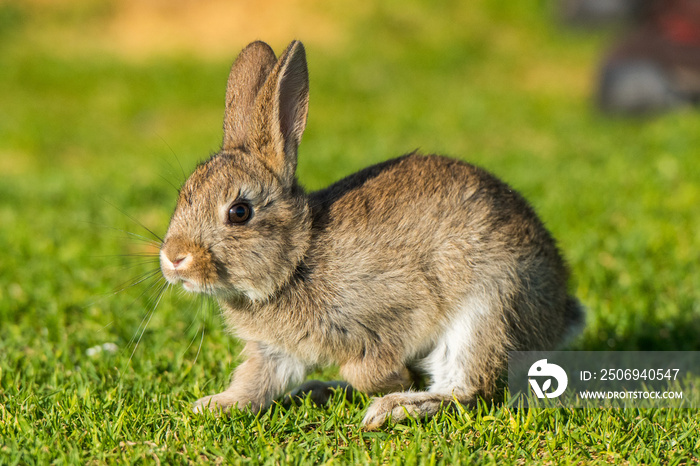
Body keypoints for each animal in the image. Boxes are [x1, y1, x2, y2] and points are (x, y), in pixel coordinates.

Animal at [160, 40, 584, 430]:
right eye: (184, 195)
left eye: (239, 212)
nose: (173, 258)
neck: (297, 260)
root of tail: (559, 316)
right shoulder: (274, 352)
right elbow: (255, 383)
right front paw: (213, 405)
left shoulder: (402, 309)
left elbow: (367, 369)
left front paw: (397, 382)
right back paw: (320, 390)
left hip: (488, 311)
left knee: (466, 388)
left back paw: (394, 407)